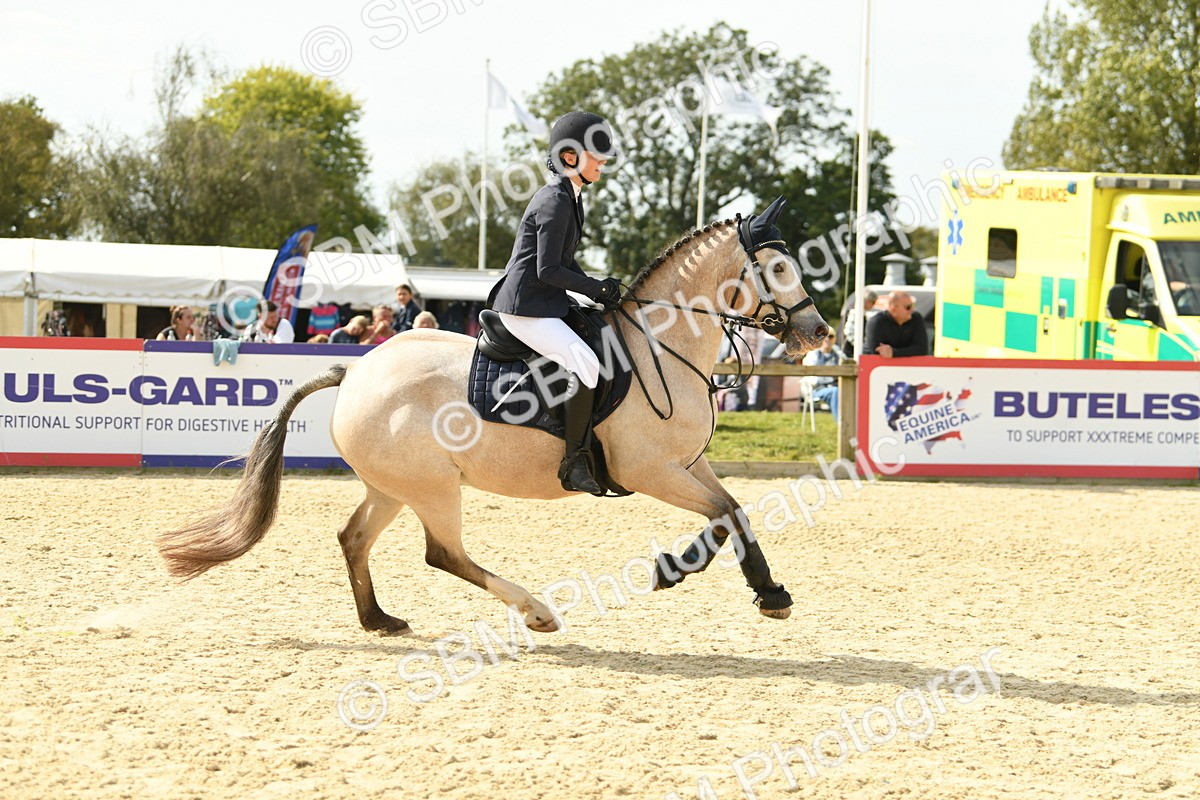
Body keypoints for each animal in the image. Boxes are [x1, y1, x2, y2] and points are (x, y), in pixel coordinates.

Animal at [157, 198, 830, 635]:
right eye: (777, 268)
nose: (817, 333)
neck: (659, 345)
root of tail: (355, 372)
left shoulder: (688, 464)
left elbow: (730, 513)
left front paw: (721, 581)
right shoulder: (650, 471)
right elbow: (724, 514)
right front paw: (728, 584)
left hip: (394, 485)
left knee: (355, 538)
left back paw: (379, 620)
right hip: (432, 487)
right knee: (443, 554)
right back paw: (535, 611)